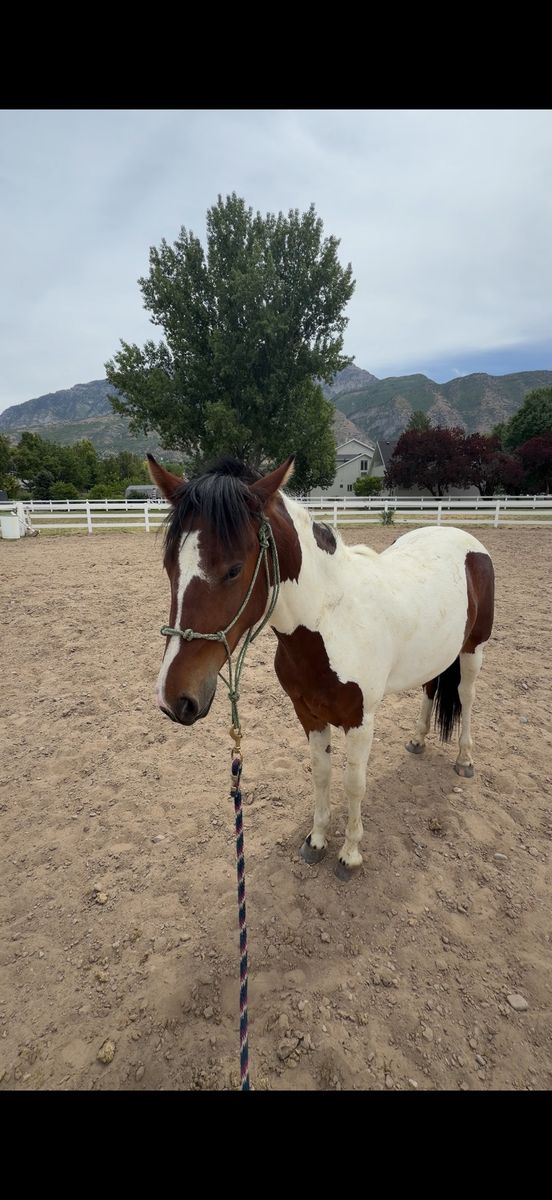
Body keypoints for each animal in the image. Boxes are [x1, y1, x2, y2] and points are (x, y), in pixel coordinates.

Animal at [147, 452, 495, 880]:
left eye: (233, 569)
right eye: (169, 566)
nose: (174, 698)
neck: (331, 620)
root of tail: (462, 539)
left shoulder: (361, 720)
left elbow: (354, 783)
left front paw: (349, 855)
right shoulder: (309, 713)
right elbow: (322, 774)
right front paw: (316, 841)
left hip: (473, 649)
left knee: (466, 696)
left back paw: (464, 760)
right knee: (430, 688)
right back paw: (417, 740)